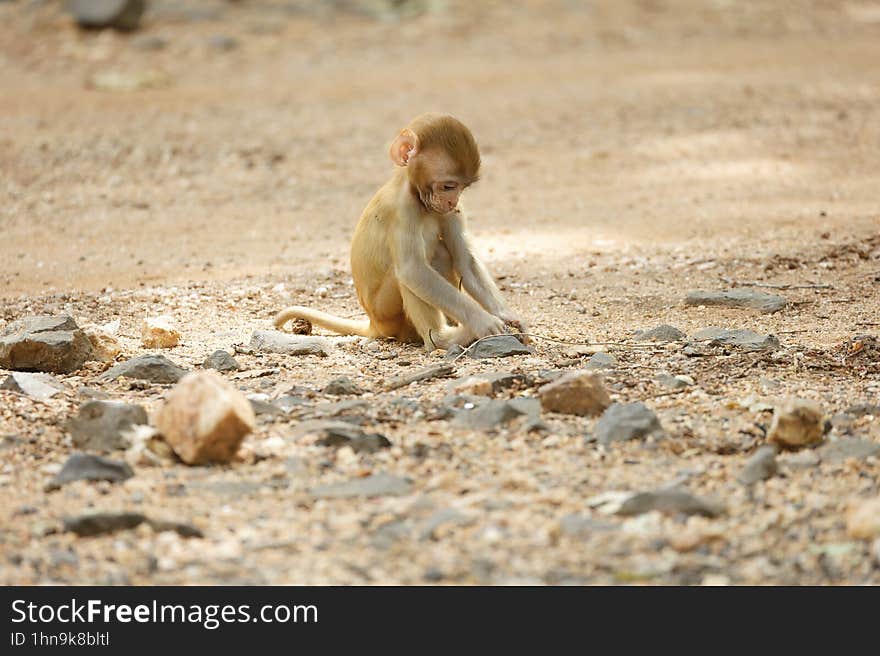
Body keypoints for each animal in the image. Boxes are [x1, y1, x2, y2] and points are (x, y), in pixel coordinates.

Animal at [274, 114, 524, 348]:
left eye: (463, 188)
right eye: (448, 186)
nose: (452, 201)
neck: (417, 197)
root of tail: (373, 324)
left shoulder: (447, 211)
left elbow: (465, 260)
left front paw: (505, 315)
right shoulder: (402, 210)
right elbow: (412, 270)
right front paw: (483, 321)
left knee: (442, 253)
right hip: (386, 312)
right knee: (408, 272)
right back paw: (443, 339)